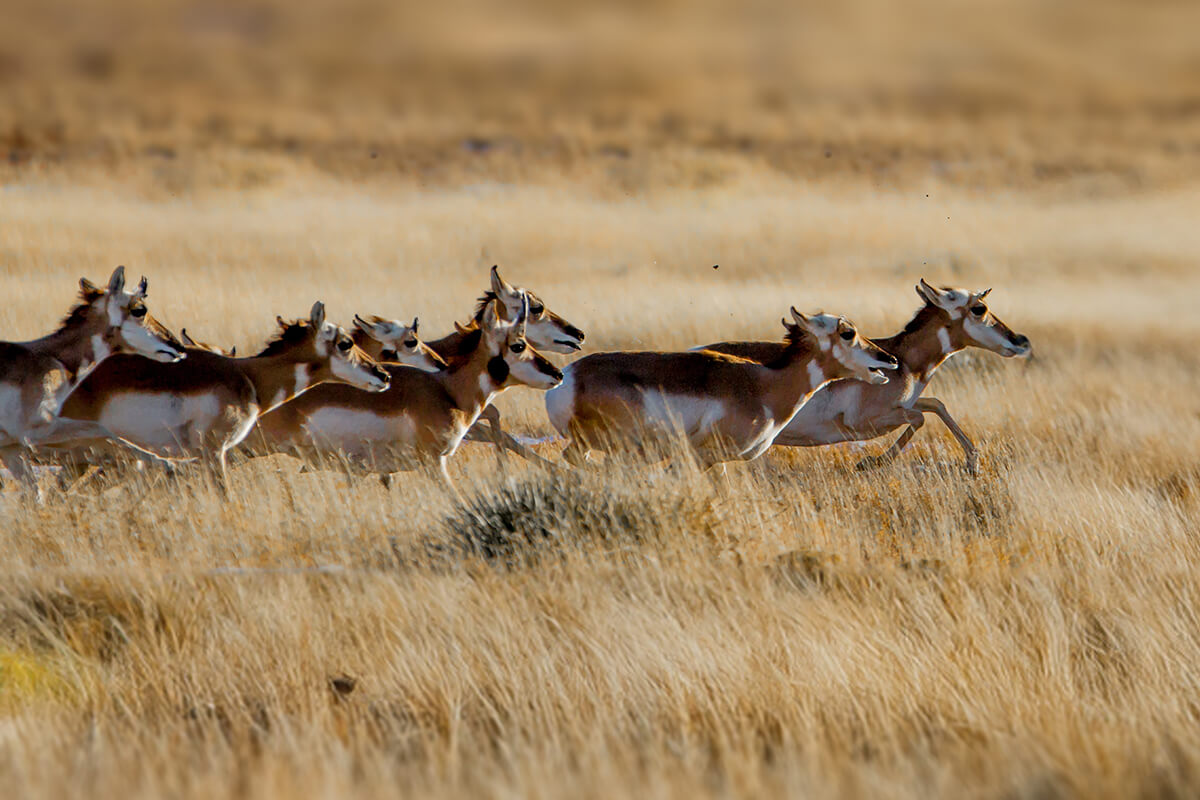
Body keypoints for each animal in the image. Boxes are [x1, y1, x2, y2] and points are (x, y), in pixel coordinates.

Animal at [0, 266, 184, 495]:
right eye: (139, 310)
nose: (178, 347)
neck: (53, 359)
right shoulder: (37, 431)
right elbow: (103, 430)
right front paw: (171, 463)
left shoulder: (11, 449)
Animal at [545, 309, 898, 470]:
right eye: (848, 332)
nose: (890, 359)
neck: (763, 383)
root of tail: (569, 376)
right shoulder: (701, 457)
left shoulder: (717, 462)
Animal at [698, 280, 1031, 474]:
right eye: (979, 308)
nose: (1020, 340)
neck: (902, 358)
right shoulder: (867, 422)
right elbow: (921, 418)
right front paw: (870, 462)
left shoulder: (904, 405)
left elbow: (936, 404)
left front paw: (973, 462)